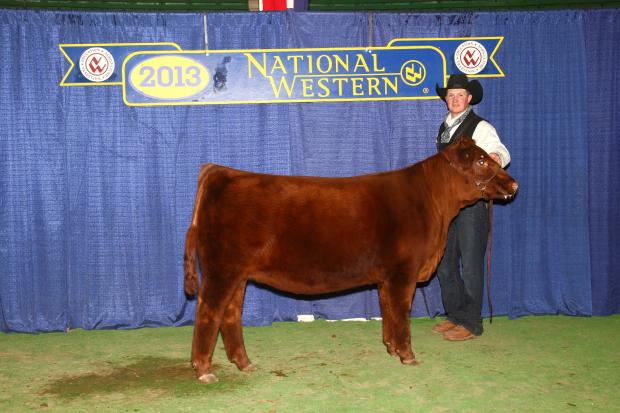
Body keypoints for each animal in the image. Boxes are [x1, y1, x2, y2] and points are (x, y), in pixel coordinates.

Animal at [184, 137, 520, 382]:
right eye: (481, 160)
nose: (514, 184)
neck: (434, 206)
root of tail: (221, 171)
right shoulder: (403, 272)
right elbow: (402, 313)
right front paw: (408, 355)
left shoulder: (387, 277)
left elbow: (388, 311)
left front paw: (390, 348)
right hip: (221, 270)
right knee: (208, 312)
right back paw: (204, 370)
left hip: (238, 274)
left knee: (230, 315)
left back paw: (244, 363)